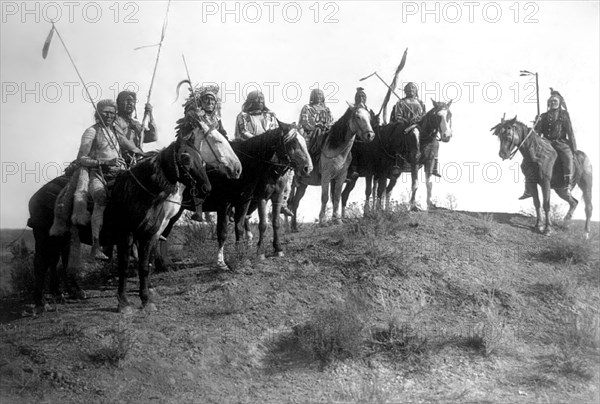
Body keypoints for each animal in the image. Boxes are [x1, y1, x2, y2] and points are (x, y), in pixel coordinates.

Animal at [27, 124, 240, 314]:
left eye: (200, 158)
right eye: (185, 158)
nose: (206, 188)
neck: (140, 192)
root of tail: (36, 196)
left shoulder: (150, 234)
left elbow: (145, 264)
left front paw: (147, 298)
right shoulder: (126, 236)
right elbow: (124, 266)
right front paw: (124, 303)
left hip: (61, 237)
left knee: (56, 261)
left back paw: (64, 293)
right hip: (44, 236)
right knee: (40, 264)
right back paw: (41, 304)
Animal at [161, 121, 314, 270]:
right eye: (293, 142)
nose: (308, 168)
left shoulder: (267, 198)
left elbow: (271, 223)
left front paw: (276, 249)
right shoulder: (250, 199)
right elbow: (256, 225)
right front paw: (256, 253)